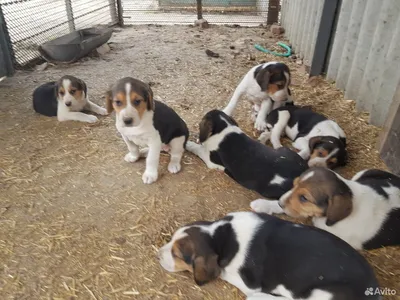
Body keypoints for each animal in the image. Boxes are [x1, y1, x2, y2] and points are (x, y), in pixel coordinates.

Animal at [158, 211, 380, 300]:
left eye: (177, 254)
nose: (158, 255)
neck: (222, 236)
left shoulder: (247, 282)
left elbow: (223, 272)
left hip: (324, 293)